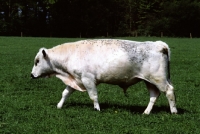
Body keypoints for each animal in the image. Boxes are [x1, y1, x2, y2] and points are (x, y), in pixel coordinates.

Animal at [30, 38, 177, 114]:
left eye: (37, 61)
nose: (31, 75)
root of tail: (159, 44)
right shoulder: (76, 80)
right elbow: (65, 93)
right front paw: (59, 106)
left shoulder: (88, 79)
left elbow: (93, 96)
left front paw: (97, 109)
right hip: (150, 81)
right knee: (154, 95)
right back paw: (146, 112)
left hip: (159, 79)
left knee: (169, 91)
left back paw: (173, 111)